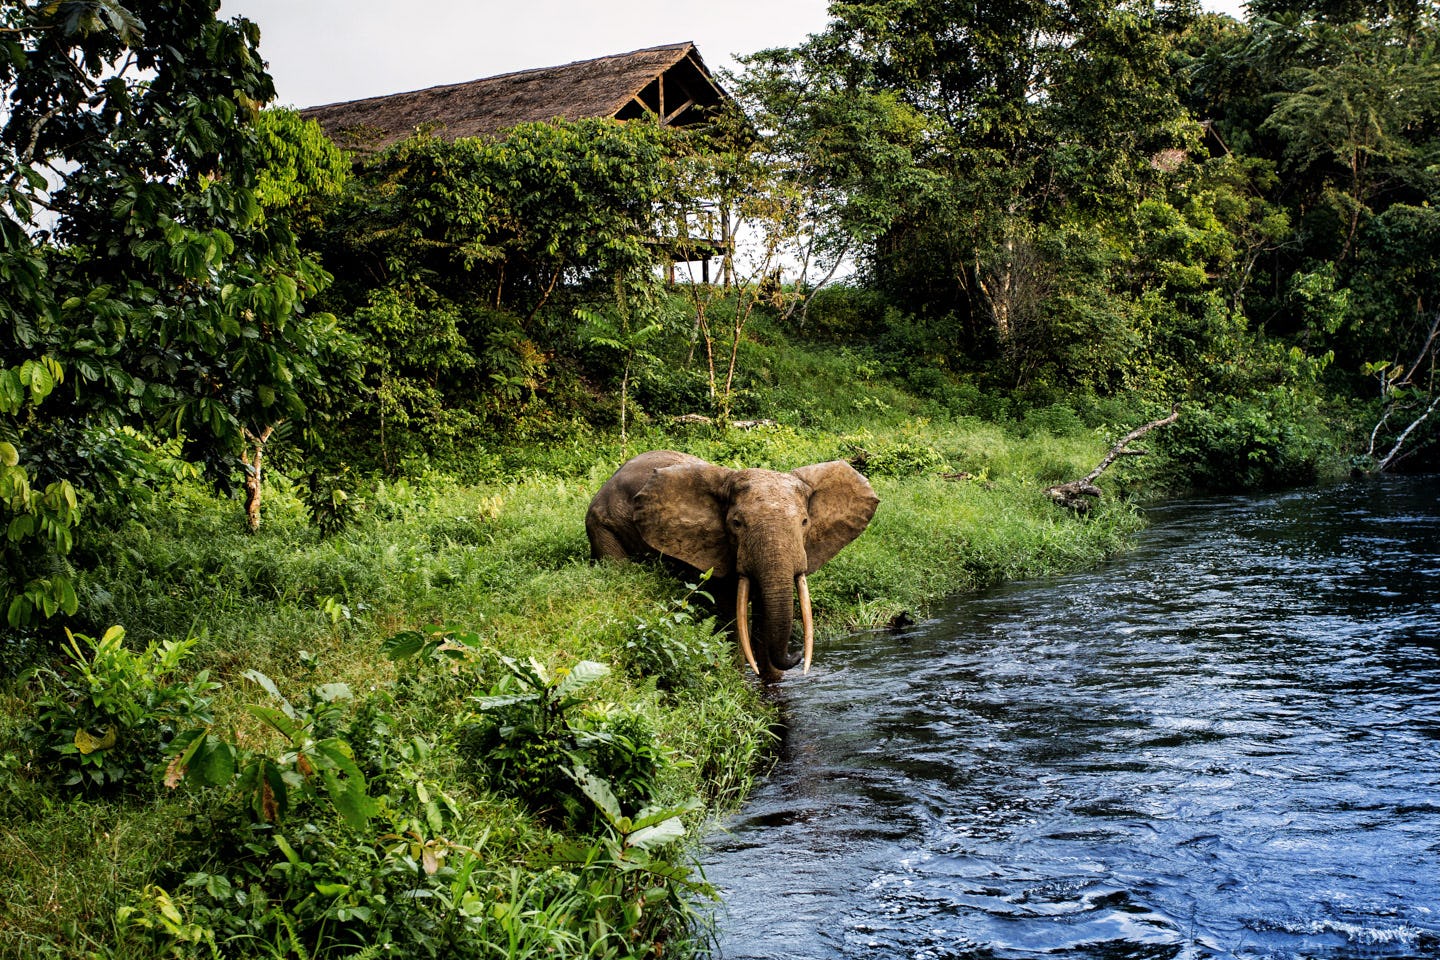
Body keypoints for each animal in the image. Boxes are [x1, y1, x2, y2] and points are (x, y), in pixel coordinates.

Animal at [584, 451, 875, 682]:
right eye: (736, 523)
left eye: (804, 522)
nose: (797, 653)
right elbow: (729, 615)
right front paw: (739, 681)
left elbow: (763, 611)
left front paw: (772, 682)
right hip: (602, 526)